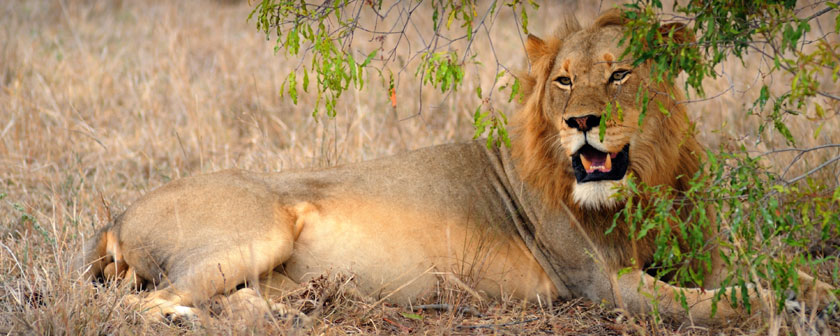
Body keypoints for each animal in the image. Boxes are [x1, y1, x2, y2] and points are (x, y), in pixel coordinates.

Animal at [77, 9, 832, 326]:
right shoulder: (602, 285)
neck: (645, 184)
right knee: (141, 306)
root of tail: (118, 215)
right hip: (253, 231)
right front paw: (776, 308)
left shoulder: (706, 256)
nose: (580, 122)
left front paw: (818, 292)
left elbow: (789, 272)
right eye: (563, 81)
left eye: (618, 74)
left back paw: (280, 312)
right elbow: (714, 302)